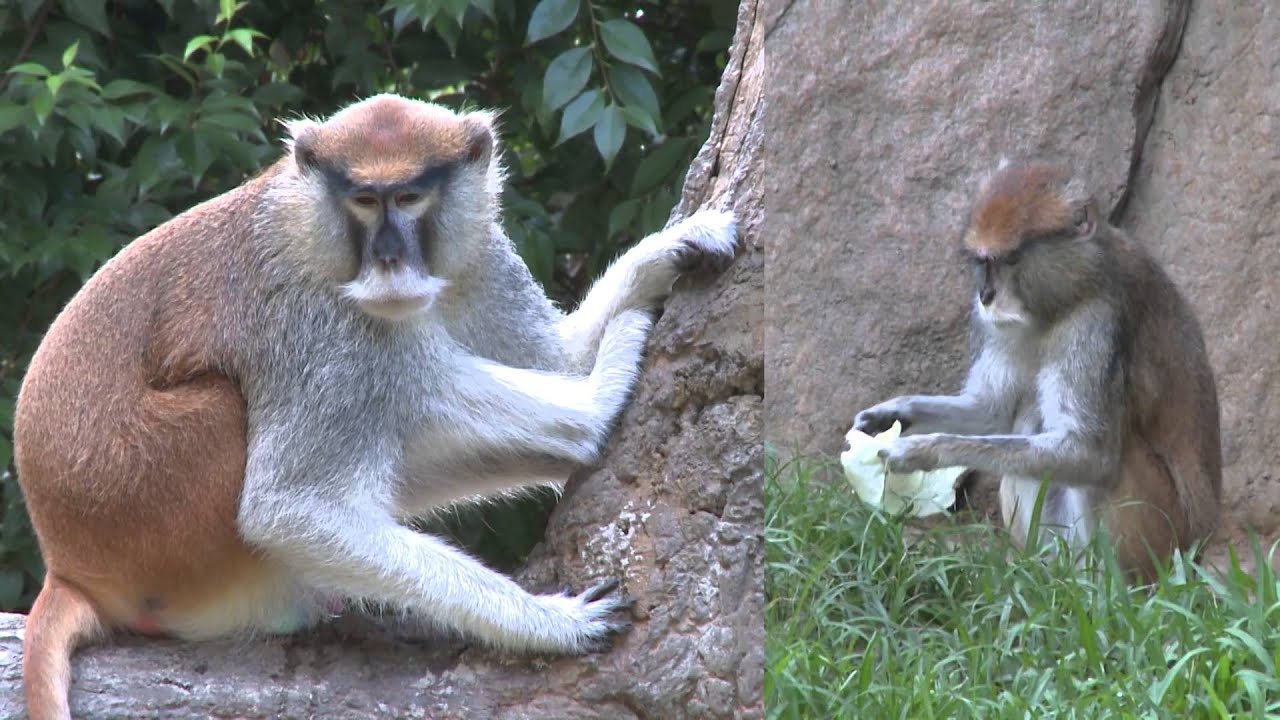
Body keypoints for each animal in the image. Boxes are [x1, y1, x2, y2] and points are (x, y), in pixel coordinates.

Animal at [15, 95, 742, 717]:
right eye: (365, 200)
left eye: (410, 197)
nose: (389, 258)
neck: (308, 222)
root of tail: (69, 567)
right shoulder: (322, 320)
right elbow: (290, 509)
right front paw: (548, 624)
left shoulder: (479, 257)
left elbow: (555, 359)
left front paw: (660, 258)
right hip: (169, 519)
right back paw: (590, 412)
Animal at [855, 158, 1223, 584]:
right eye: (982, 261)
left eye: (1012, 259)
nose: (986, 296)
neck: (1076, 284)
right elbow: (991, 411)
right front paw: (891, 415)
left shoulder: (1095, 324)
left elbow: (1090, 455)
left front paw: (925, 451)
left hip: (1162, 539)